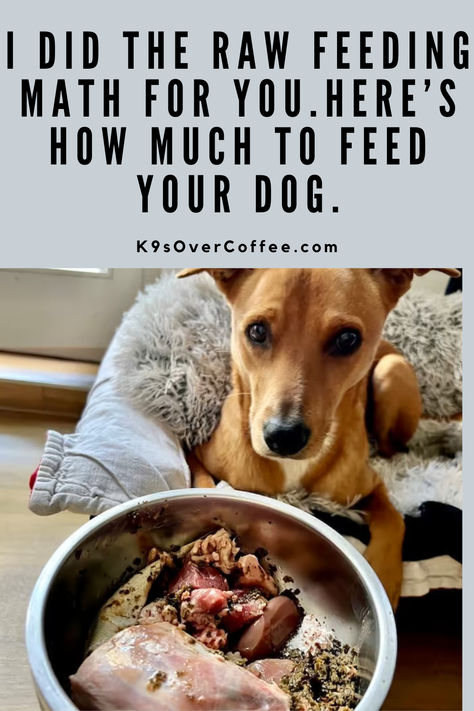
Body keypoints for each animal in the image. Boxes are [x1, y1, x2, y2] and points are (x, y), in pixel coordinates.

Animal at [177, 270, 460, 608]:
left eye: (348, 339)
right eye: (257, 331)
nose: (284, 436)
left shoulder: (371, 485)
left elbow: (394, 519)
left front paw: (384, 573)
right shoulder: (196, 451)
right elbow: (203, 482)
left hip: (391, 373)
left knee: (393, 448)